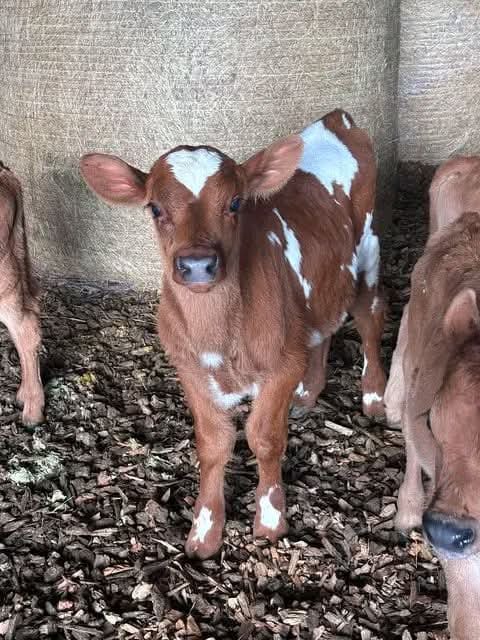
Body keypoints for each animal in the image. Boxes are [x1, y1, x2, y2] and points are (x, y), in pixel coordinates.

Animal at [80, 109, 386, 559]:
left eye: (235, 203)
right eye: (154, 208)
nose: (197, 264)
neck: (219, 338)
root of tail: (336, 119)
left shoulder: (281, 365)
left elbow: (264, 438)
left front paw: (271, 520)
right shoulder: (189, 368)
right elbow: (213, 444)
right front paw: (205, 530)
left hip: (368, 247)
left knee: (369, 317)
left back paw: (375, 397)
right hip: (320, 281)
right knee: (323, 324)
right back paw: (309, 393)